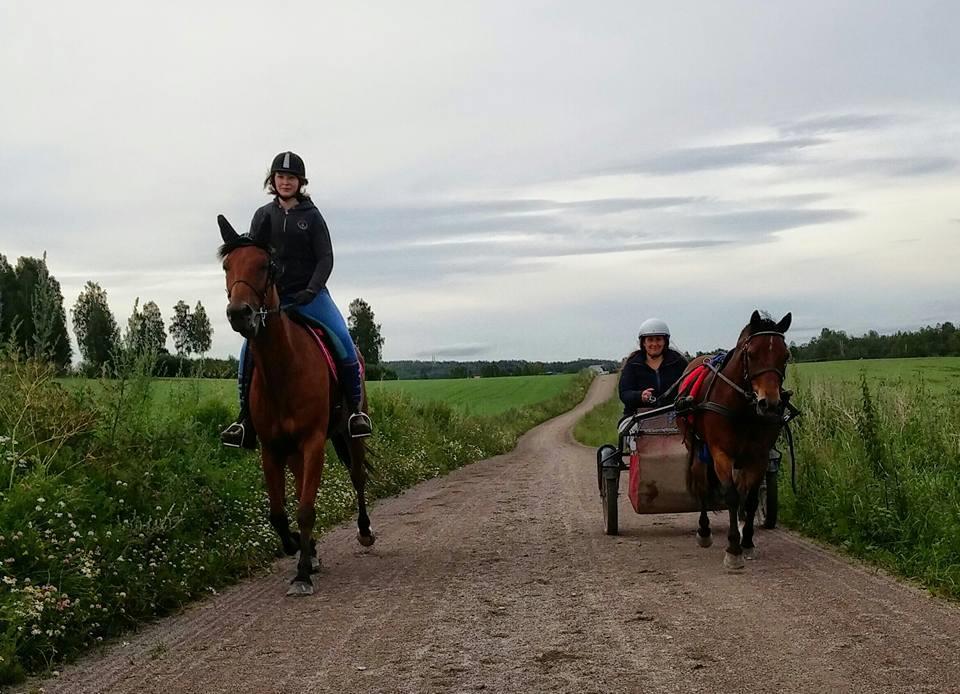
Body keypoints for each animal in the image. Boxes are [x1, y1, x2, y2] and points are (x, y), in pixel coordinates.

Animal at [218, 215, 376, 596]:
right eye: (227, 266)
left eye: (266, 265)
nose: (240, 313)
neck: (282, 370)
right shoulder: (271, 448)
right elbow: (278, 513)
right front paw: (299, 549)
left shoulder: (314, 442)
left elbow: (305, 509)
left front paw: (302, 574)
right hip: (292, 452)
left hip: (350, 435)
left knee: (358, 477)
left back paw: (364, 532)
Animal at [676, 312, 788, 572]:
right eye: (752, 353)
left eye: (786, 355)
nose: (770, 404)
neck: (744, 407)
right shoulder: (720, 453)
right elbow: (732, 497)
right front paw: (733, 549)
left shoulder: (759, 456)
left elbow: (751, 499)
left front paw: (747, 542)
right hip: (697, 446)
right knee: (702, 484)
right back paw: (704, 531)